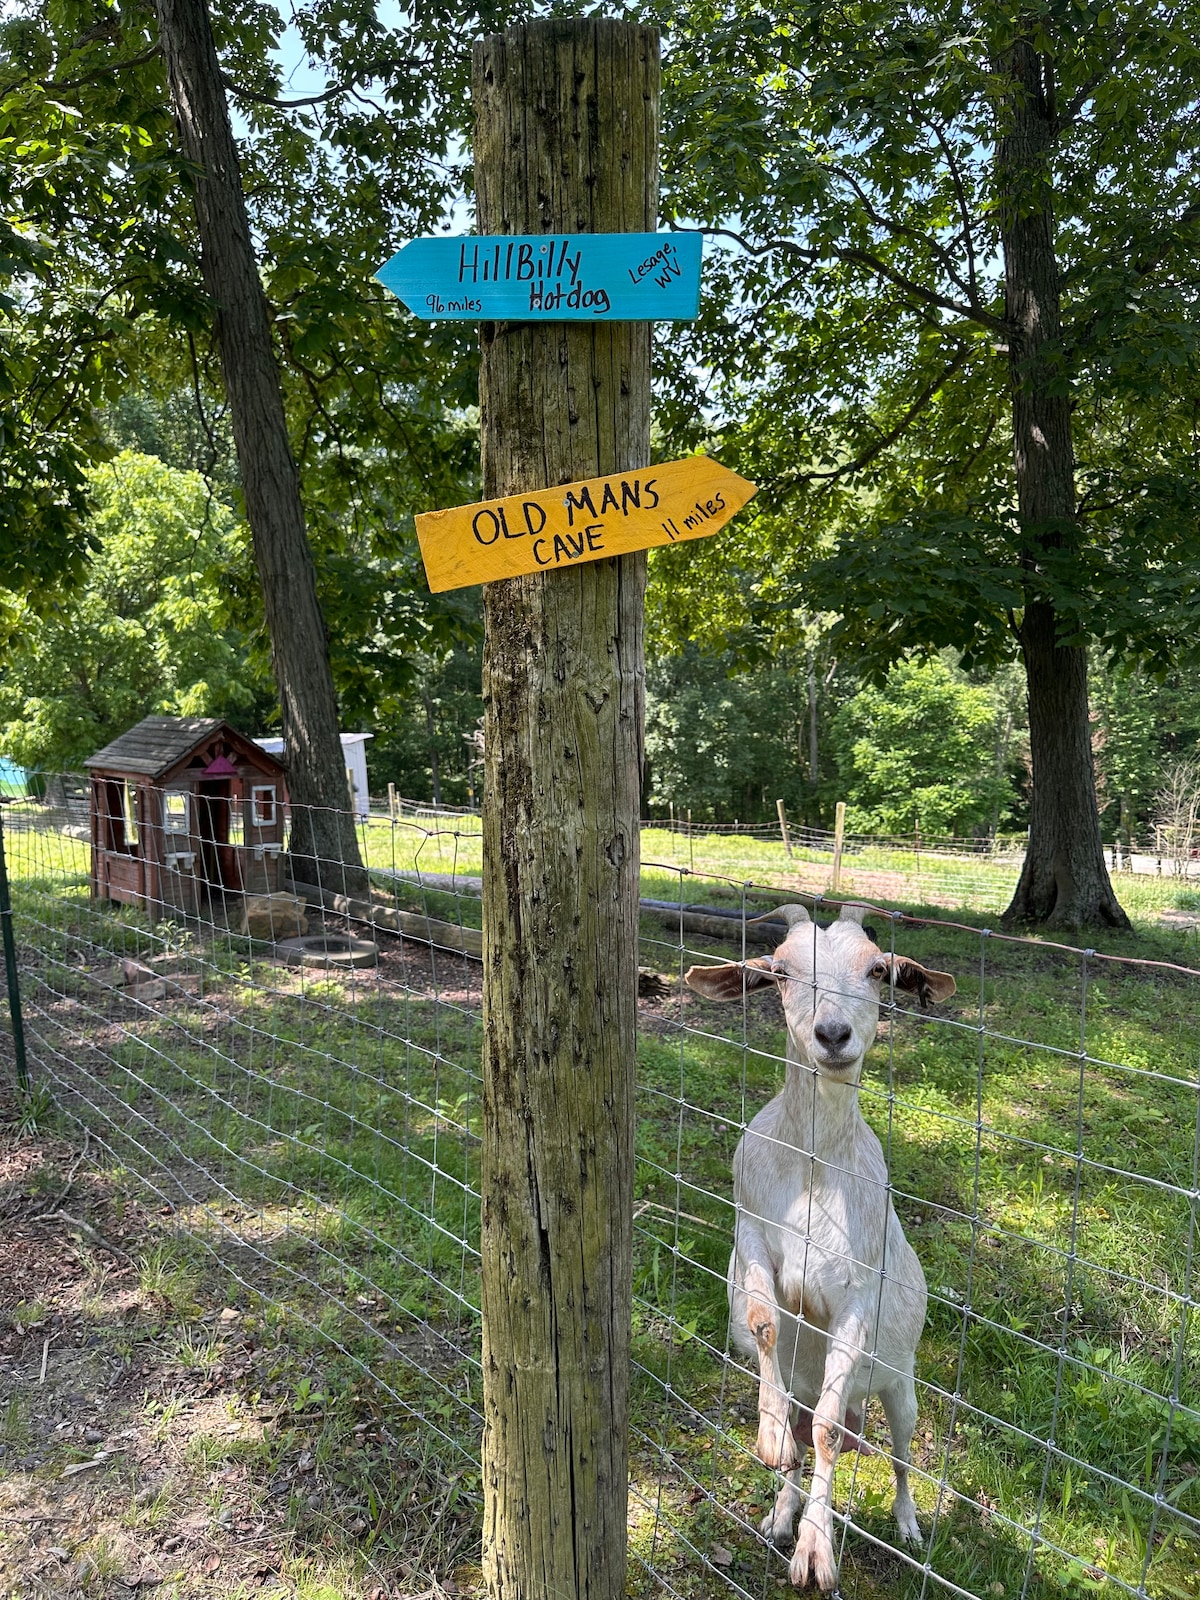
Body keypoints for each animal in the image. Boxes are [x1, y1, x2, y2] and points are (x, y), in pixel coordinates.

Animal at [685, 902, 956, 1591]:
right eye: (781, 971)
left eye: (878, 968)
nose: (833, 1034)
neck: (812, 1168)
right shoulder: (752, 1228)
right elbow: (763, 1324)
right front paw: (771, 1442)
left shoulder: (858, 1292)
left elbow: (833, 1435)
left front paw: (817, 1554)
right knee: (808, 1438)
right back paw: (780, 1514)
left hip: (901, 1388)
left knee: (898, 1453)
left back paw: (908, 1528)